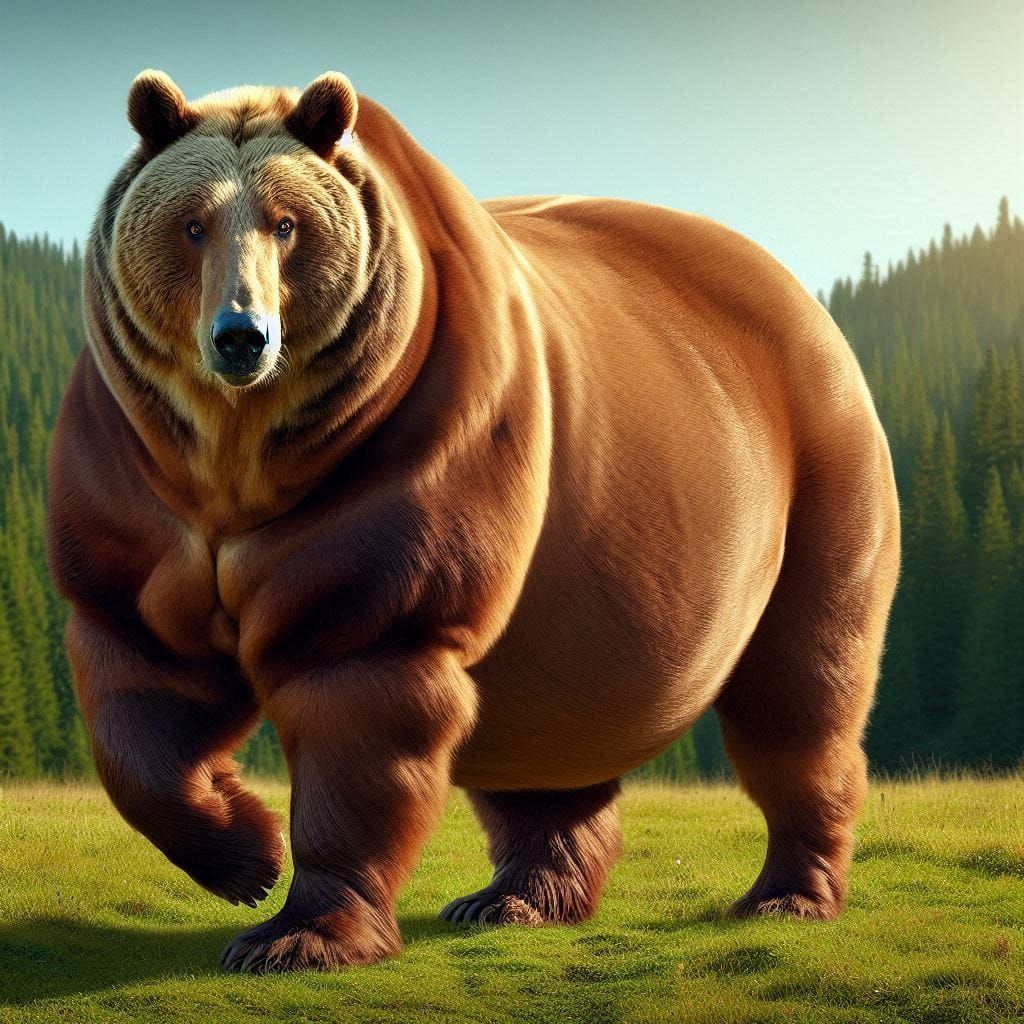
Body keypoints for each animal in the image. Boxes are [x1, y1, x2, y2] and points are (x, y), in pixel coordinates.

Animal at [46, 69, 900, 973]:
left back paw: (788, 894)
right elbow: (143, 686)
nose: (242, 336)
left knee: (800, 691)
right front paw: (246, 855)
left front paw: (296, 934)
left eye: (286, 223)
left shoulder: (404, 461)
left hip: (815, 482)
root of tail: (795, 289)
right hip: (574, 563)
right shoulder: (137, 485)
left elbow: (360, 700)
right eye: (191, 223)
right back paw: (513, 898)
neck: (236, 458)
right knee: (542, 729)